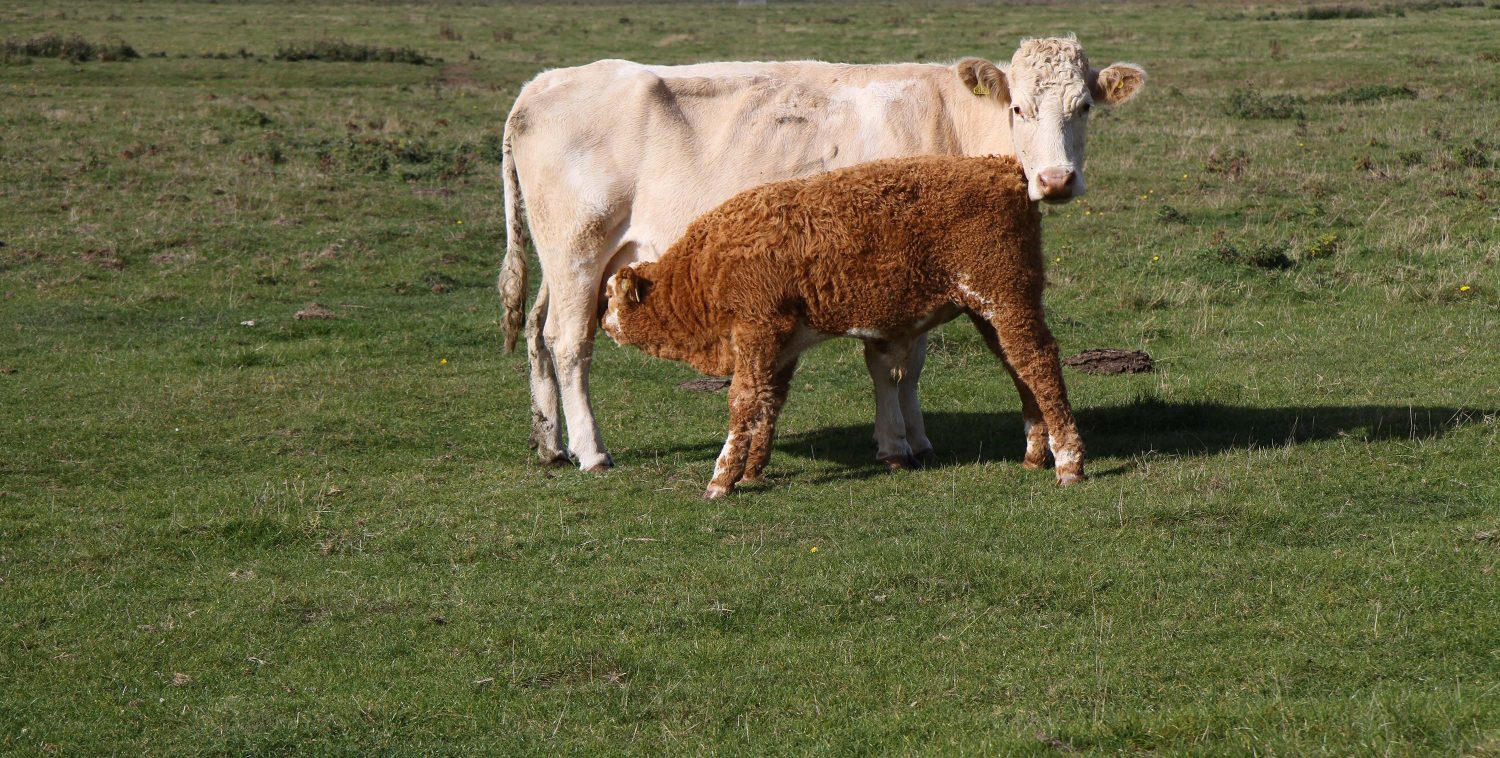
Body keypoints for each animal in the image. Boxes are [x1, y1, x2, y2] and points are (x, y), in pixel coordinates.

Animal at [603, 153, 1086, 495]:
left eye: (610, 297)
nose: (604, 321)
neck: (706, 267)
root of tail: (1001, 166)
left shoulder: (756, 331)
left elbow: (743, 400)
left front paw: (721, 479)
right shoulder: (780, 347)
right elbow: (769, 403)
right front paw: (753, 469)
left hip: (1006, 302)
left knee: (1039, 364)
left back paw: (1068, 463)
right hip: (991, 313)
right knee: (1020, 369)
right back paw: (1035, 454)